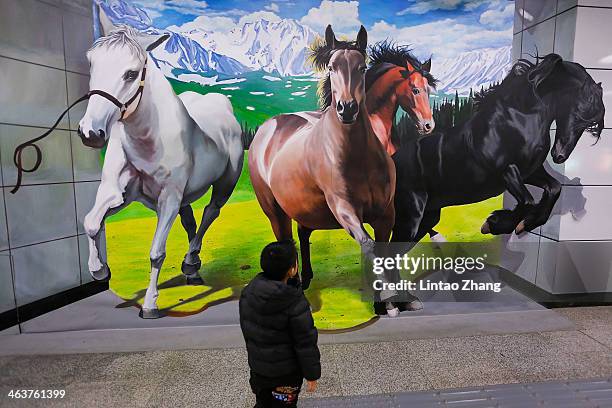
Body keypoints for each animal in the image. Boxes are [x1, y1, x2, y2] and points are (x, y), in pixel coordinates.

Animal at [78, 27, 244, 318]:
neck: (148, 139)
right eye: (92, 64)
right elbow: (91, 223)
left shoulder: (169, 199)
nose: (91, 133)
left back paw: (190, 262)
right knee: (190, 222)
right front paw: (100, 270)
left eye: (131, 73)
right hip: (183, 199)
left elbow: (156, 252)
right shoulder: (117, 194)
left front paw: (150, 305)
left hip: (224, 184)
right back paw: (193, 269)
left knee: (210, 213)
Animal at [249, 25, 396, 310]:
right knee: (285, 244)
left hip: (304, 207)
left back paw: (306, 279)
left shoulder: (386, 213)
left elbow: (385, 252)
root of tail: (267, 128)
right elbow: (369, 246)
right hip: (275, 212)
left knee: (302, 236)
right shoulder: (344, 208)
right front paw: (386, 298)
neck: (359, 157)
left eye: (362, 67)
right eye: (331, 67)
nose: (347, 109)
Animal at [390, 53, 604, 245]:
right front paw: (494, 224)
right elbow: (528, 201)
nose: (560, 155)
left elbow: (554, 188)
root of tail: (391, 162)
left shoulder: (530, 172)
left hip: (427, 218)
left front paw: (522, 224)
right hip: (410, 219)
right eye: (579, 111)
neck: (520, 118)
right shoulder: (507, 171)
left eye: (591, 123)